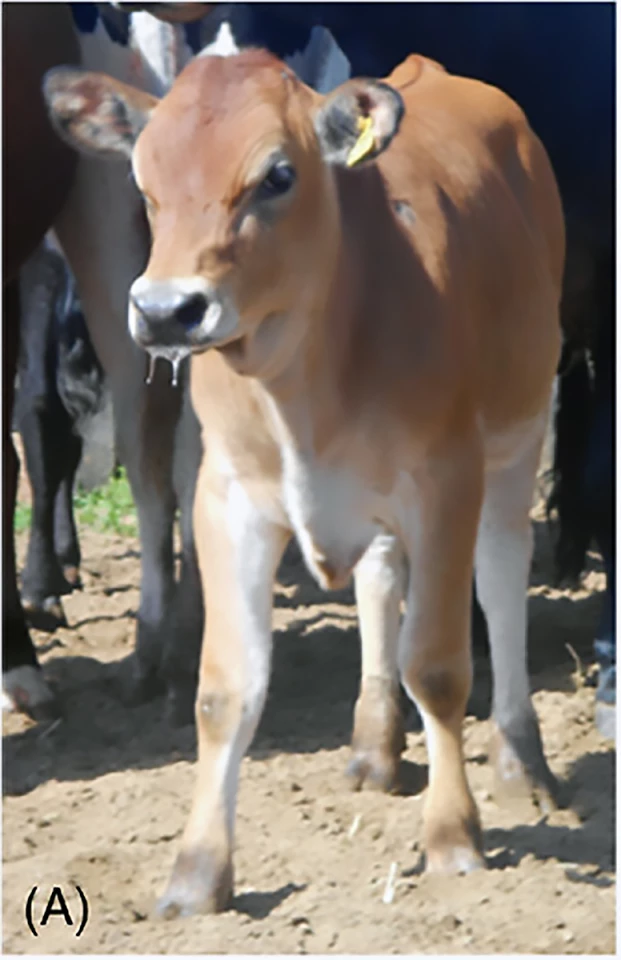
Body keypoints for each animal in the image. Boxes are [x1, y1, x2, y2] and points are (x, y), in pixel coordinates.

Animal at [44, 44, 564, 914]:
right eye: (145, 181)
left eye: (277, 176)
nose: (166, 311)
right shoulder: (227, 498)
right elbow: (226, 689)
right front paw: (196, 874)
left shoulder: (446, 479)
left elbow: (438, 665)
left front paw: (452, 837)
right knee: (380, 582)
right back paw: (373, 746)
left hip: (517, 432)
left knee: (500, 575)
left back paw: (519, 759)